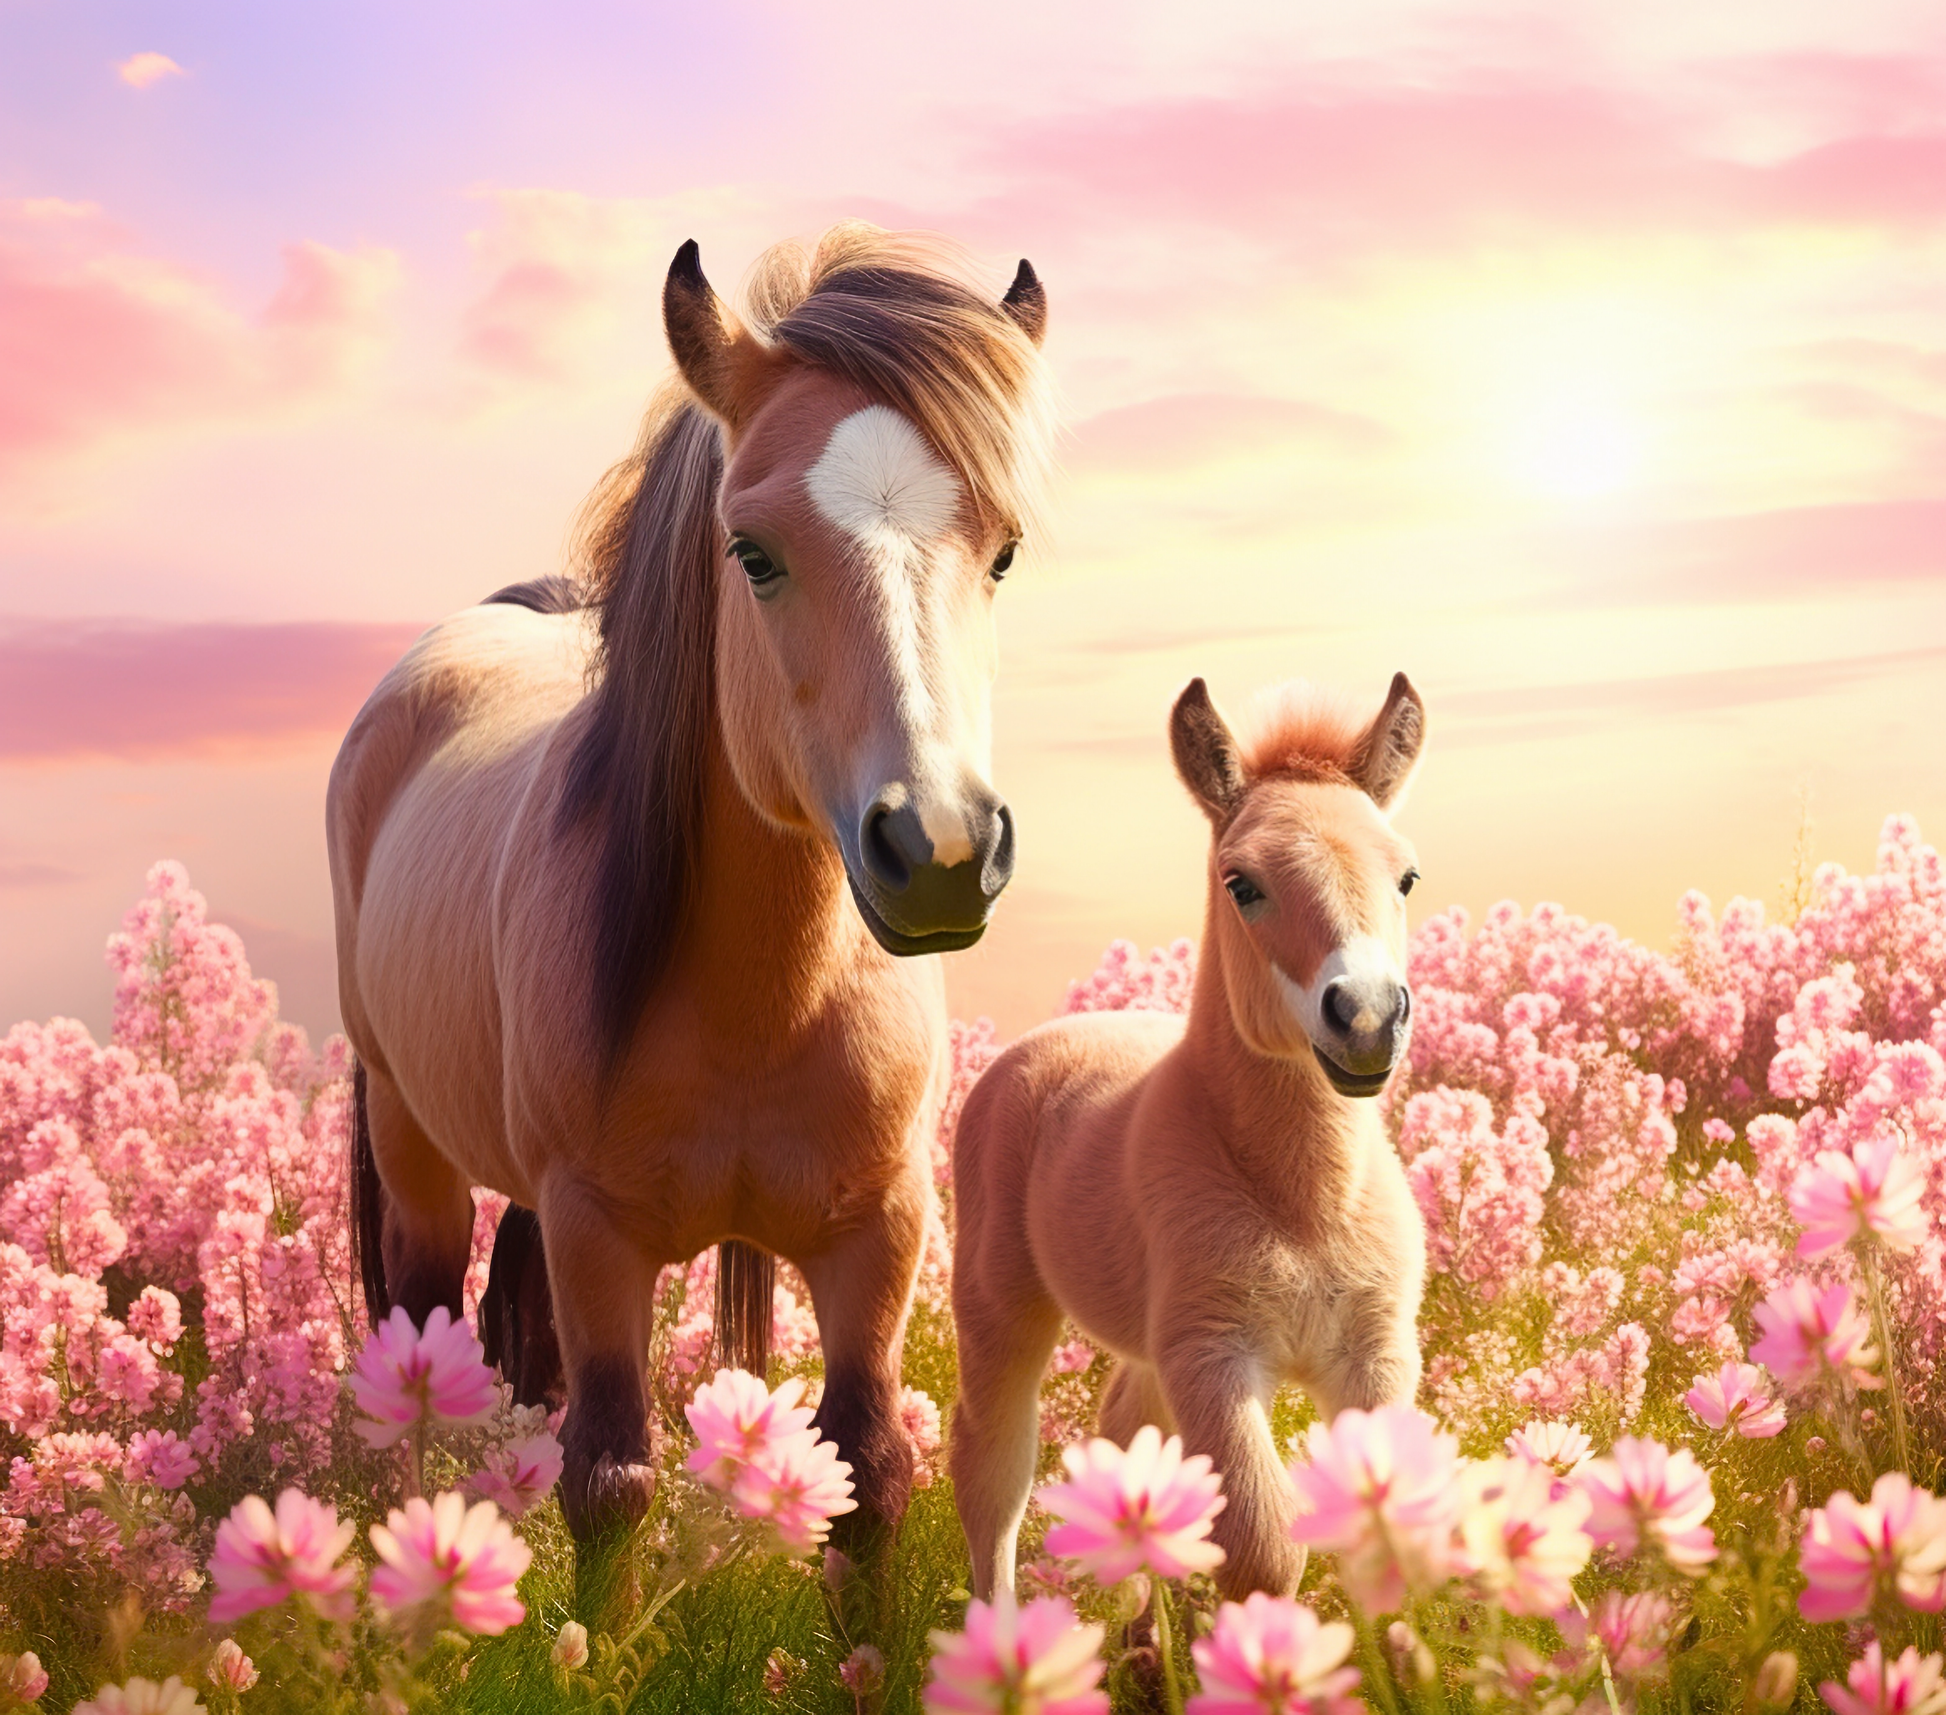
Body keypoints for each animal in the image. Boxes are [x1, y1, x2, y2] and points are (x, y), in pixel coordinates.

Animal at [328, 223, 1053, 1562]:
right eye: (752, 553)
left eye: (1003, 551)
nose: (935, 848)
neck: (762, 993)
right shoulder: (599, 1238)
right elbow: (609, 1478)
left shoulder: (877, 1234)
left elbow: (868, 1473)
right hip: (411, 1141)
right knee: (423, 1340)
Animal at [947, 673, 1429, 1600]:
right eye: (1242, 882)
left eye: (1407, 876)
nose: (1366, 1017)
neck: (1307, 1201)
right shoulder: (1214, 1354)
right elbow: (1264, 1545)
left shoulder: (1376, 1352)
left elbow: (1392, 1527)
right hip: (999, 1307)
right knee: (992, 1469)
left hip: (1151, 1344)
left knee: (1126, 1436)